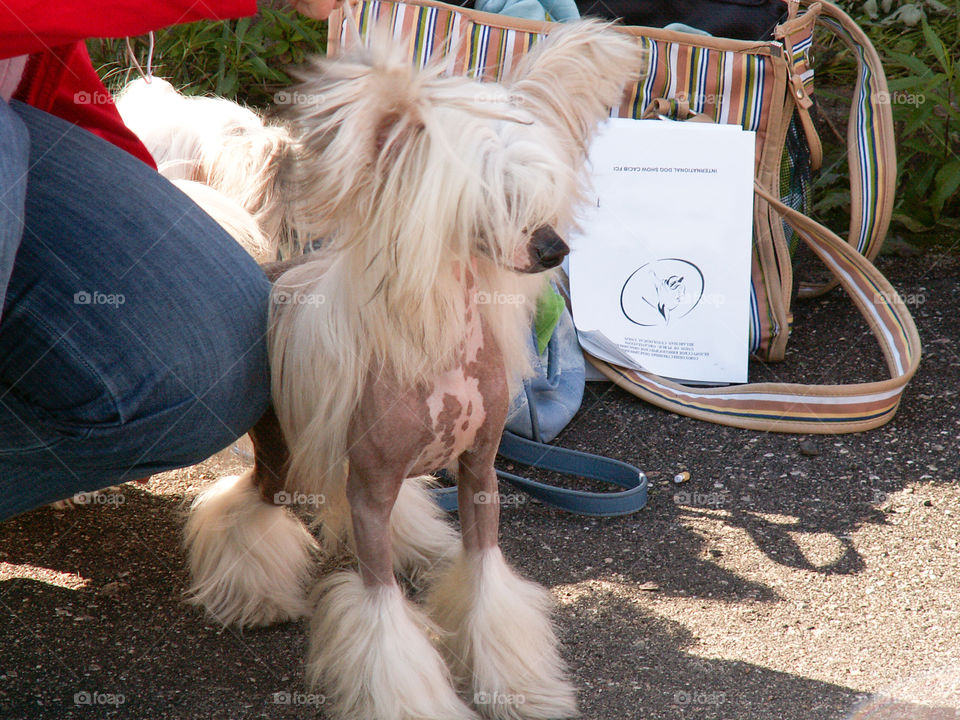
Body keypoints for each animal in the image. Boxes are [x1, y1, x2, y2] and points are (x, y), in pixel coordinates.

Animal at [124, 19, 640, 720]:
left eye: (536, 188)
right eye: (485, 192)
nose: (552, 247)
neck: (450, 344)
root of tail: (268, 269)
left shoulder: (479, 472)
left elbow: (487, 579)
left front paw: (516, 686)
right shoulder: (371, 492)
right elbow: (381, 617)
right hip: (281, 446)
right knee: (250, 503)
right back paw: (251, 594)